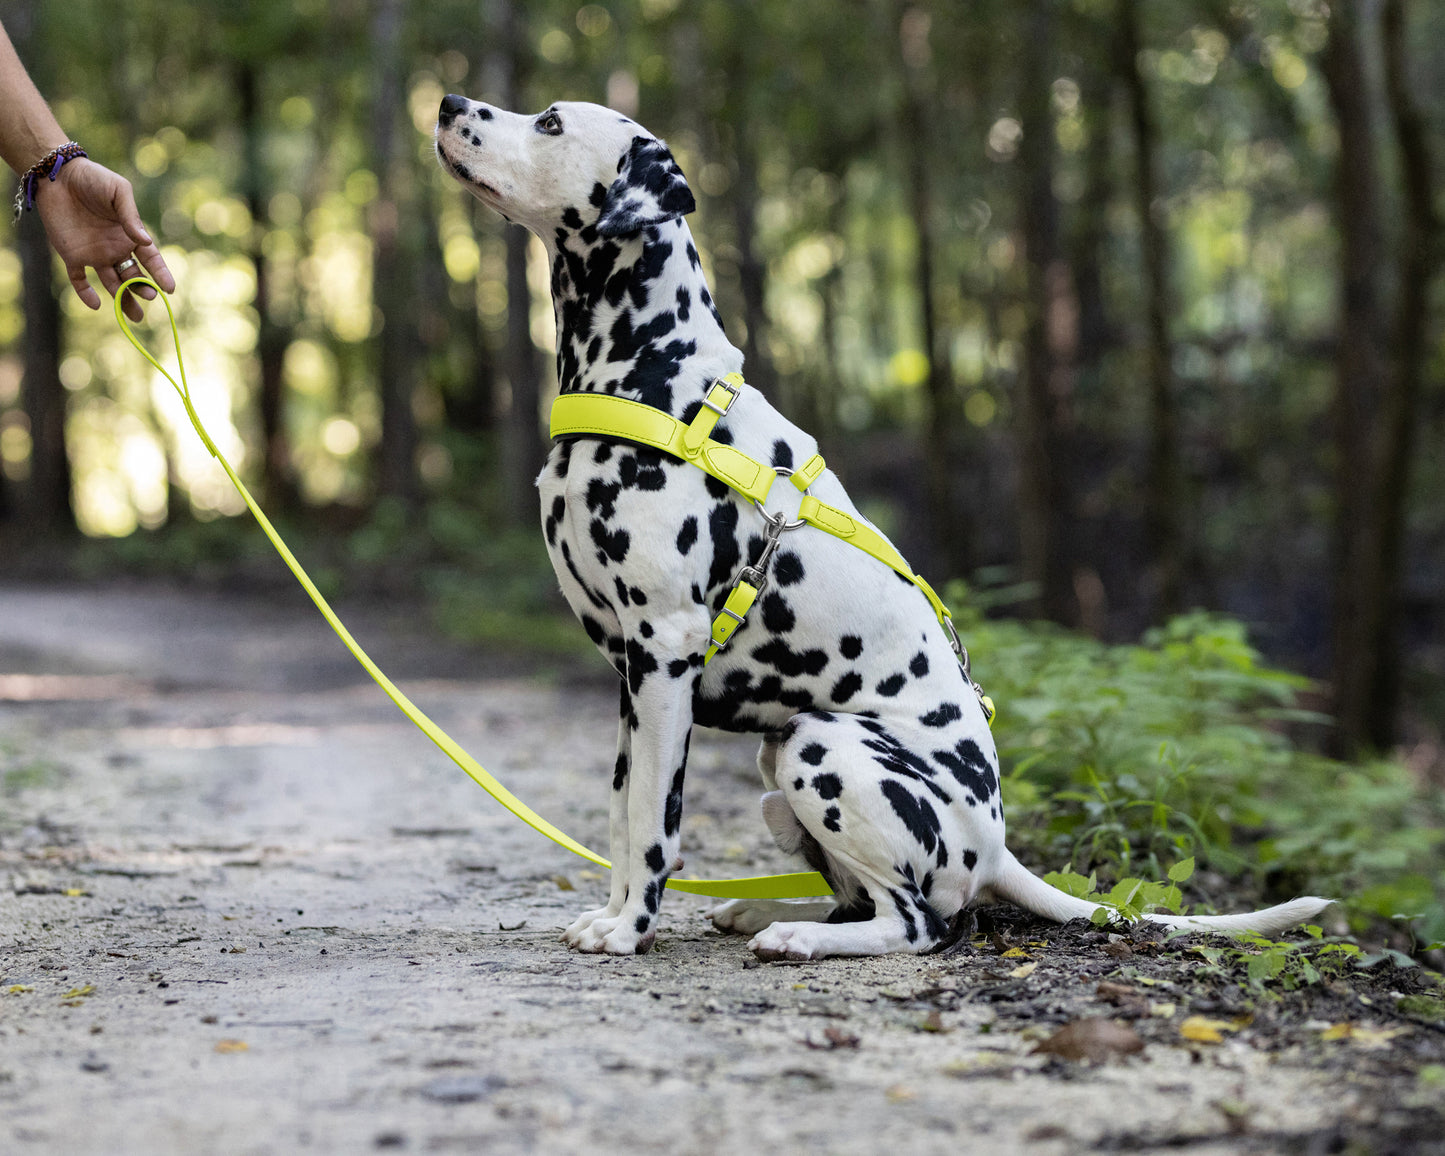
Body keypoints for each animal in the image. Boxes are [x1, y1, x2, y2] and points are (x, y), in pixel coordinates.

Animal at [430, 96, 1329, 959]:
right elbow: (622, 814)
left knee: (917, 924)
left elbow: (655, 821)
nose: (445, 103)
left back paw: (794, 936)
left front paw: (630, 932)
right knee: (860, 898)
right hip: (779, 759)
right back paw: (764, 914)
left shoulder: (664, 652)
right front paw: (614, 915)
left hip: (821, 747)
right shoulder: (631, 674)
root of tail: (995, 847)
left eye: (550, 123)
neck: (655, 374)